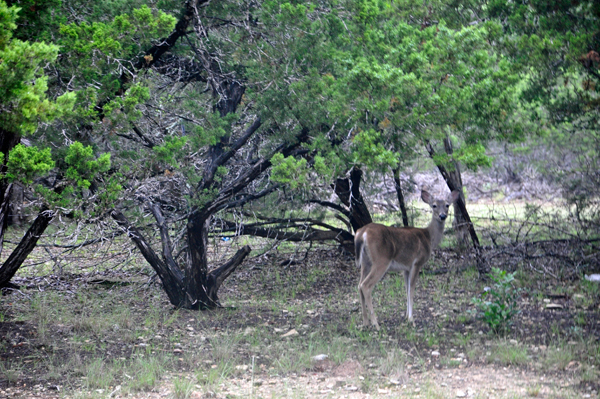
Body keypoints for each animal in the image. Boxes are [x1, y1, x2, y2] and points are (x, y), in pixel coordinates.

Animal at [356, 191, 460, 332]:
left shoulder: (405, 268)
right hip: (381, 260)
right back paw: (375, 324)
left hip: (365, 261)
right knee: (365, 285)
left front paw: (406, 316)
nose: (442, 216)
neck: (429, 237)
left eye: (447, 205)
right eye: (434, 205)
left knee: (359, 285)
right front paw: (411, 320)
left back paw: (365, 322)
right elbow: (411, 290)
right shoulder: (417, 262)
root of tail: (362, 232)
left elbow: (406, 289)